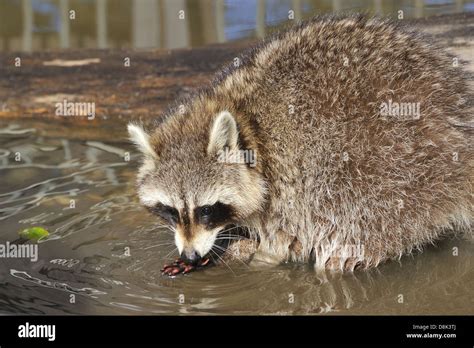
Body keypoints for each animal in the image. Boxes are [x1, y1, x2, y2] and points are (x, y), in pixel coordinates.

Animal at [128, 14, 472, 274]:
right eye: (171, 211)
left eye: (206, 210)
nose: (190, 255)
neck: (246, 122)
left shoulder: (287, 178)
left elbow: (286, 240)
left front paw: (251, 255)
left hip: (397, 159)